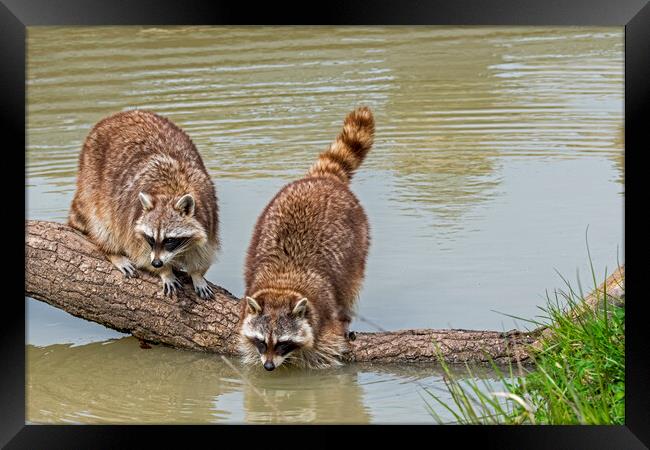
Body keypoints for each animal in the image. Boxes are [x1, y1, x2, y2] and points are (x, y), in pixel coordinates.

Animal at [68, 109, 219, 298]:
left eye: (170, 240)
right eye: (151, 238)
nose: (157, 263)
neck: (170, 191)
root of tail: (118, 115)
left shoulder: (208, 211)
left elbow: (203, 250)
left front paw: (196, 274)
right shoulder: (132, 218)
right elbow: (140, 252)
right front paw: (165, 272)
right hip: (92, 179)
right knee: (102, 223)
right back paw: (113, 252)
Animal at [238, 105, 372, 370]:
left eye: (283, 343)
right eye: (261, 341)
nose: (269, 367)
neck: (283, 284)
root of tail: (323, 178)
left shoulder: (324, 316)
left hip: (359, 236)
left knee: (351, 284)